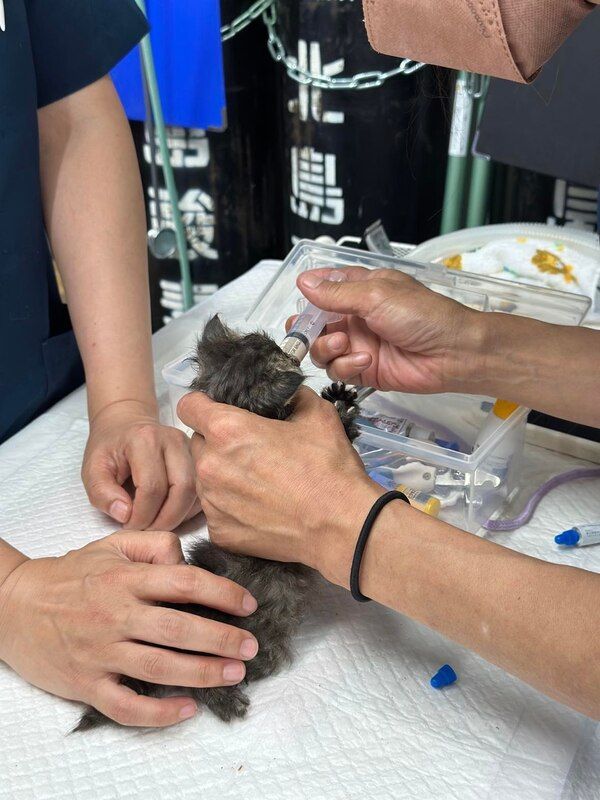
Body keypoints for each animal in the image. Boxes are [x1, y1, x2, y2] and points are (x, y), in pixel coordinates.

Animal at [77, 314, 364, 732]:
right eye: (275, 351)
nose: (291, 345)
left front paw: (339, 398)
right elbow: (344, 433)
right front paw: (341, 404)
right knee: (208, 681)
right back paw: (229, 698)